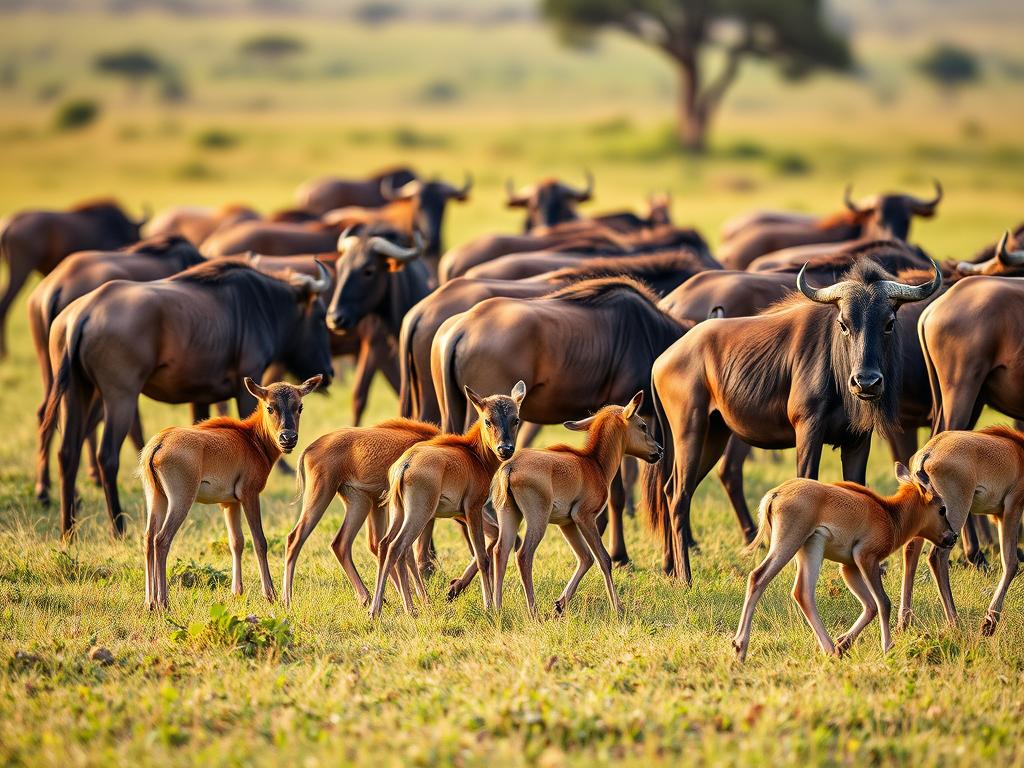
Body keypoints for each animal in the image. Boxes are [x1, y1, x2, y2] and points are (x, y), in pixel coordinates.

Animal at [140, 376, 322, 609]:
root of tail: (159, 443)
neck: (250, 439)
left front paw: (237, 591)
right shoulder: (249, 494)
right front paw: (270, 594)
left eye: (299, 406)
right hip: (181, 500)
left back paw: (149, 601)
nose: (287, 438)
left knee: (148, 538)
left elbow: (236, 542)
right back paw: (162, 602)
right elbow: (259, 541)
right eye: (270, 407)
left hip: (156, 497)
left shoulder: (229, 503)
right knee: (162, 539)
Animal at [368, 382, 527, 618]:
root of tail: (405, 465)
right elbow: (482, 556)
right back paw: (401, 609)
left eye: (515, 419)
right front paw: (488, 605)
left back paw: (380, 608)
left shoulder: (462, 513)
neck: (473, 454)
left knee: (386, 544)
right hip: (419, 514)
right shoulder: (473, 509)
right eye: (488, 420)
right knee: (398, 548)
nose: (504, 449)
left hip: (399, 512)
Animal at [490, 392, 662, 617]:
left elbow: (586, 557)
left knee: (500, 551)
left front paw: (560, 604)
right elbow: (603, 558)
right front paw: (618, 608)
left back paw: (496, 608)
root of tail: (510, 467)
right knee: (523, 555)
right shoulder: (584, 516)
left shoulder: (567, 523)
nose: (659, 450)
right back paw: (533, 612)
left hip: (510, 514)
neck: (594, 463)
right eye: (643, 425)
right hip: (538, 518)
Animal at [732, 464, 958, 662]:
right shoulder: (866, 558)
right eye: (942, 509)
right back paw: (741, 647)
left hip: (811, 547)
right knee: (758, 577)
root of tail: (776, 494)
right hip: (790, 542)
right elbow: (883, 602)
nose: (952, 537)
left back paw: (831, 649)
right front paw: (887, 647)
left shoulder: (849, 568)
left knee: (802, 592)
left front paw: (844, 643)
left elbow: (870, 606)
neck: (890, 515)